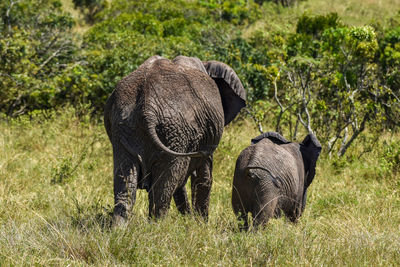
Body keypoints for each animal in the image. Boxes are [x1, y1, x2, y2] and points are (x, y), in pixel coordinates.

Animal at [104, 55, 245, 225]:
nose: (191, 219)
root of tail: (147, 107)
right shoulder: (206, 138)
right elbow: (203, 177)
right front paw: (200, 223)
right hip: (175, 131)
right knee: (167, 183)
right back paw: (157, 226)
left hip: (125, 127)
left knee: (126, 180)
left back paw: (120, 227)